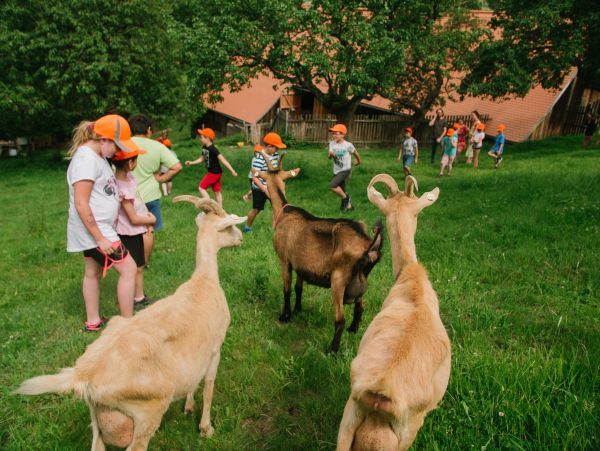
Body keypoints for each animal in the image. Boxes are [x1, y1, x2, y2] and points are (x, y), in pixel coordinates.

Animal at [14, 198, 248, 451]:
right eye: (229, 226)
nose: (241, 238)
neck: (204, 280)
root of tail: (83, 376)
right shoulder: (215, 348)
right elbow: (209, 386)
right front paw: (206, 428)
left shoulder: (198, 358)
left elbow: (195, 382)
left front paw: (188, 406)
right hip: (147, 410)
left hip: (97, 417)